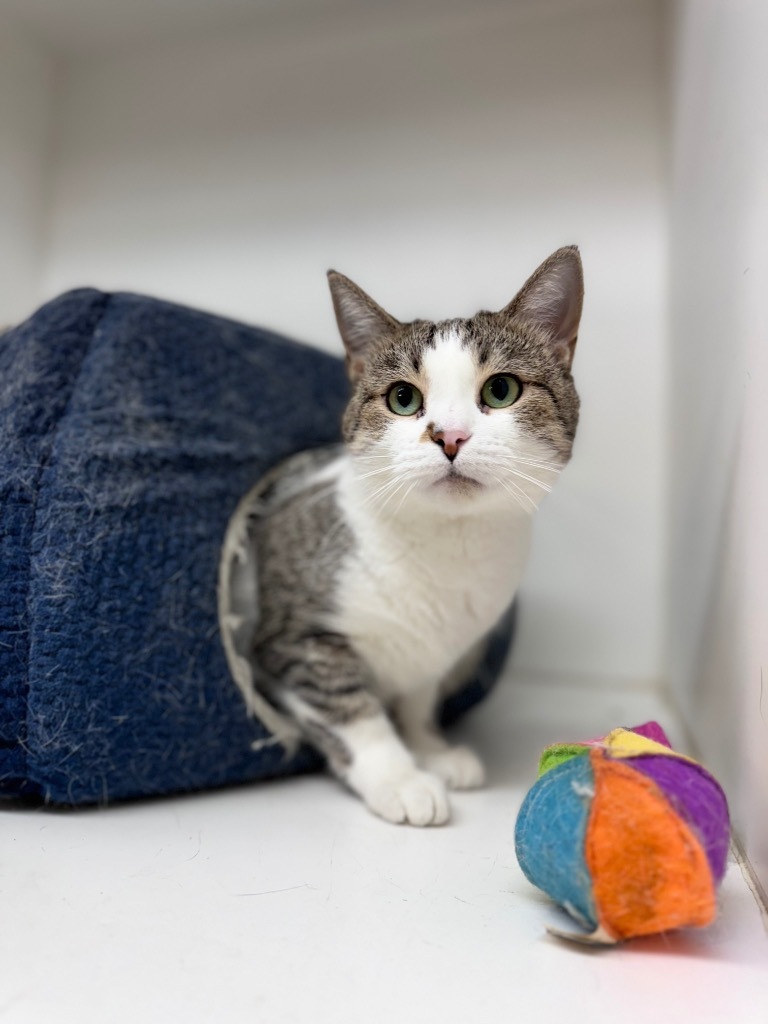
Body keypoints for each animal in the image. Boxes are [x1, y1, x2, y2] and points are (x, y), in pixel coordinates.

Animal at [236, 245, 581, 823]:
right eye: (402, 397)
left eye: (501, 389)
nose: (451, 436)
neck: (447, 548)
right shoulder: (294, 639)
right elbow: (354, 713)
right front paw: (400, 778)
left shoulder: (437, 651)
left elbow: (418, 699)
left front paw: (429, 749)